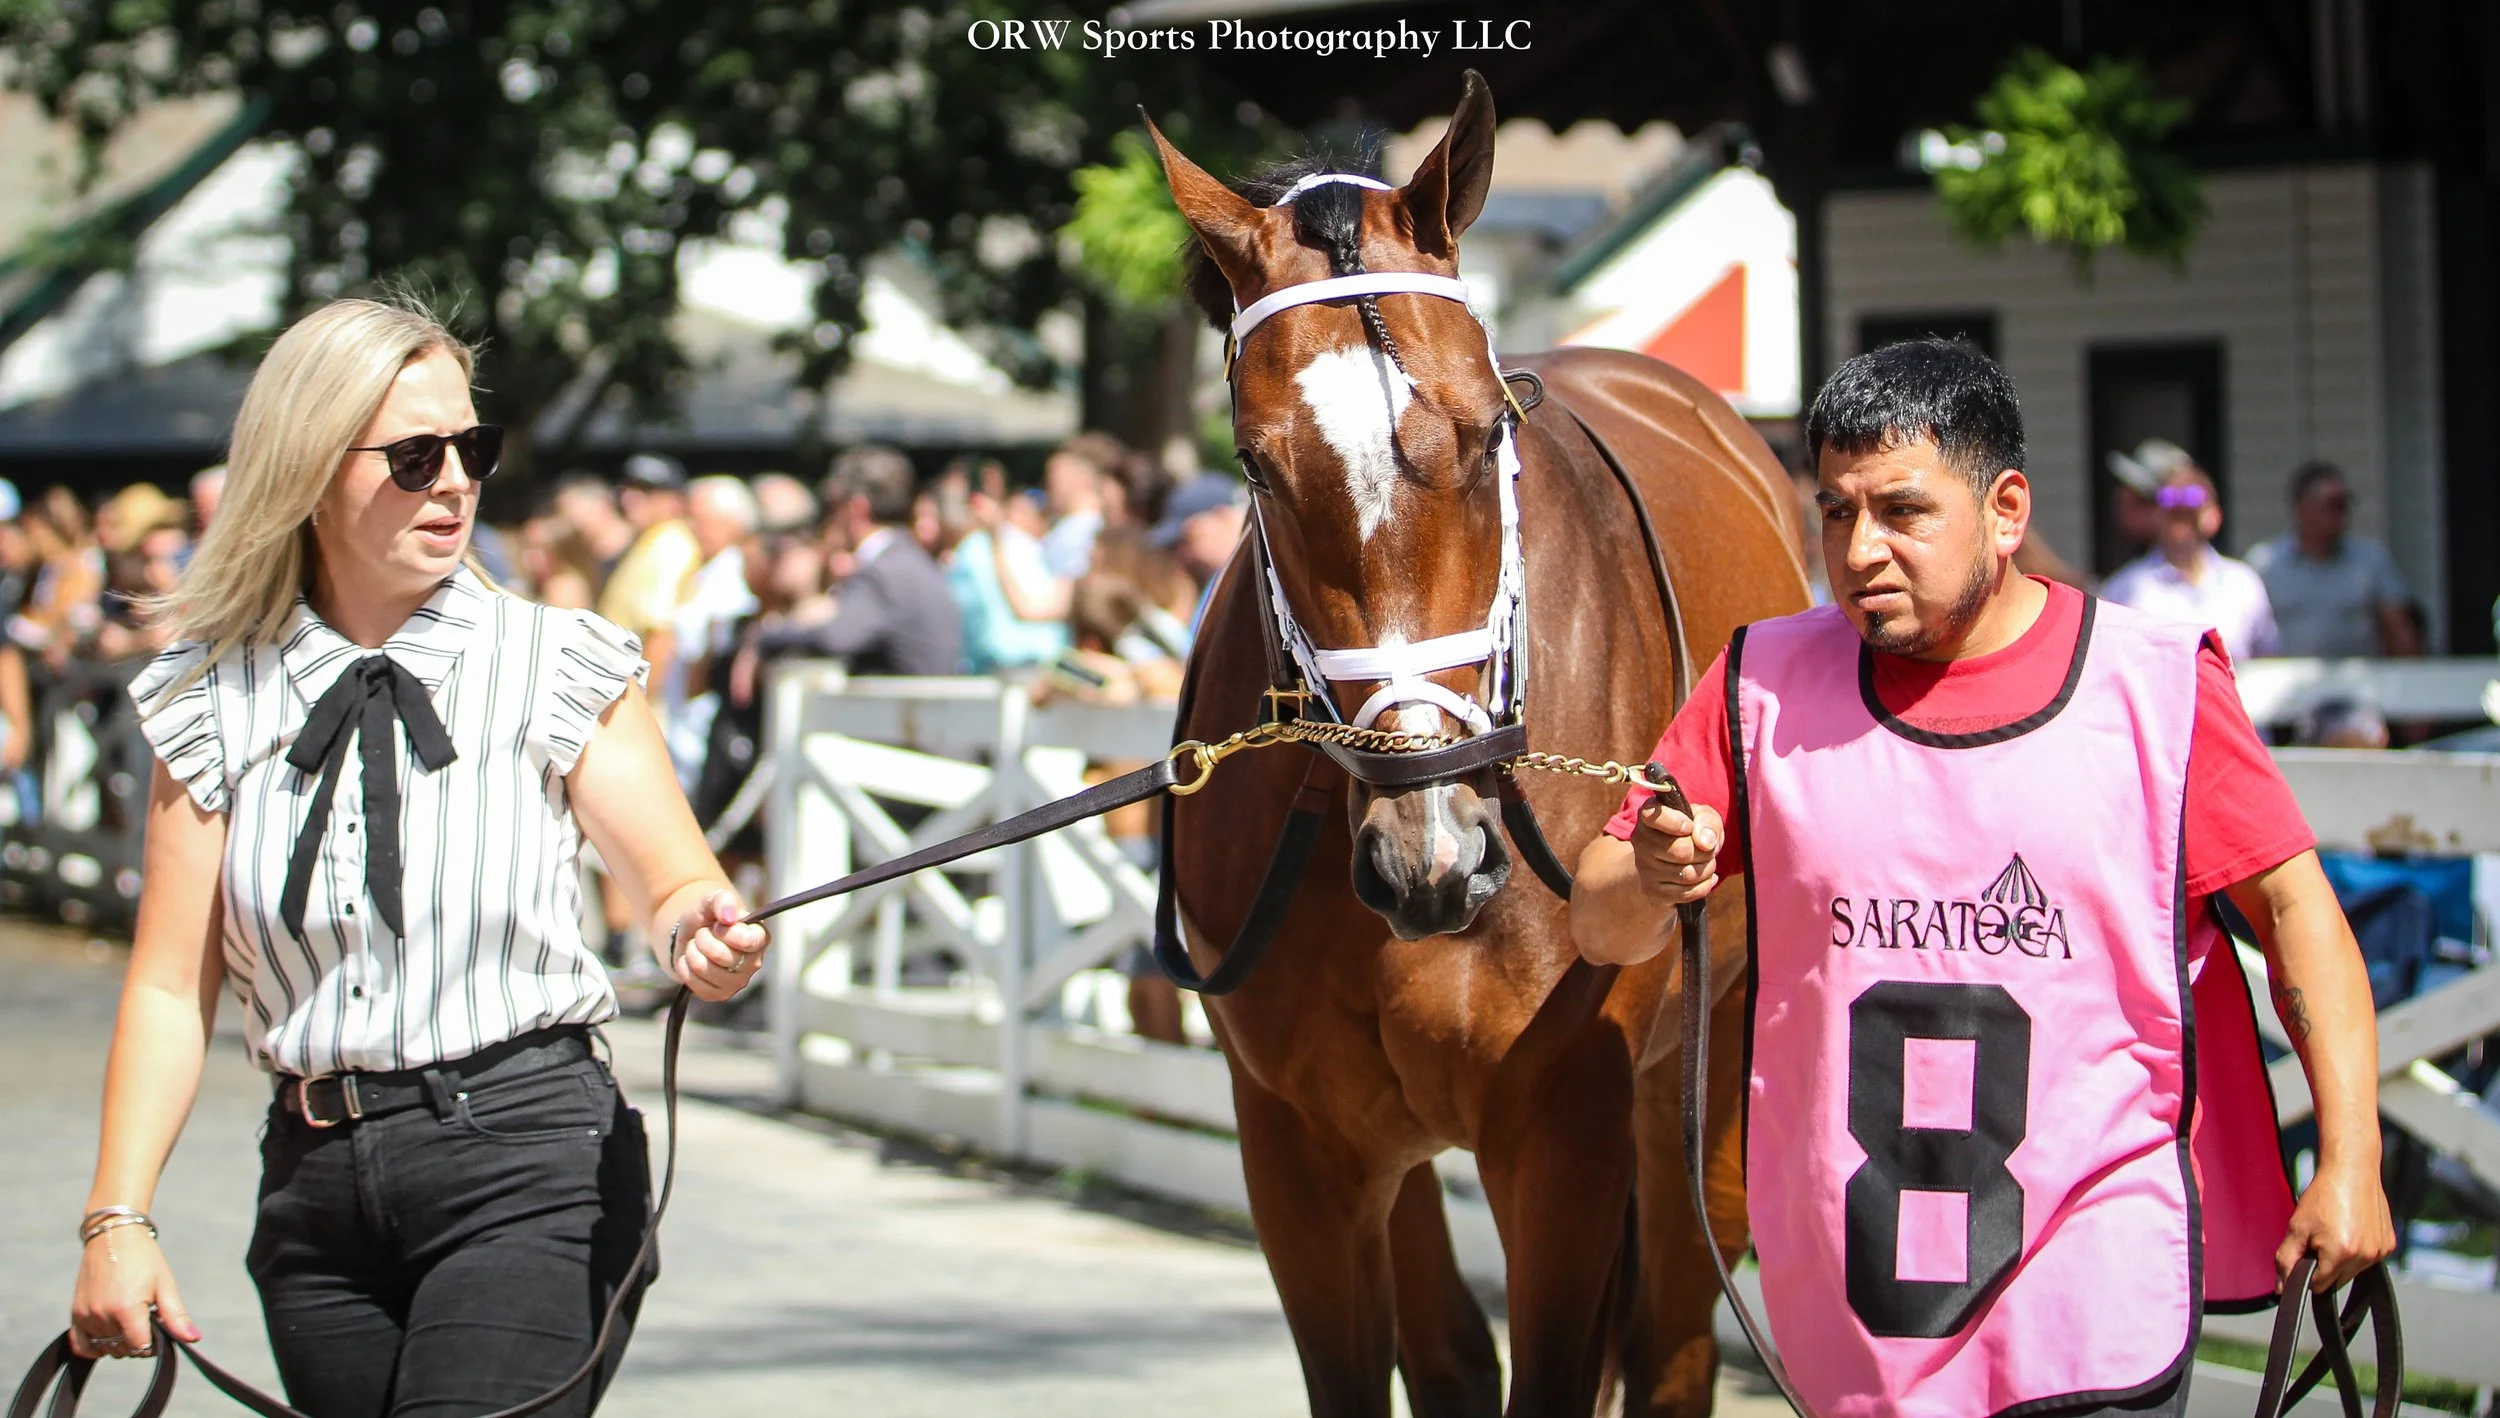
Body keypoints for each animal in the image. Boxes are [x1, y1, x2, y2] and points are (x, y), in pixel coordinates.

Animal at [1151, 72, 1813, 1418]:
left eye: (1477, 433)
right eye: (1254, 462)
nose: (1433, 856)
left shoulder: (1565, 1131)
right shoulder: (1298, 1147)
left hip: (1703, 1080)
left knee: (1673, 1341)